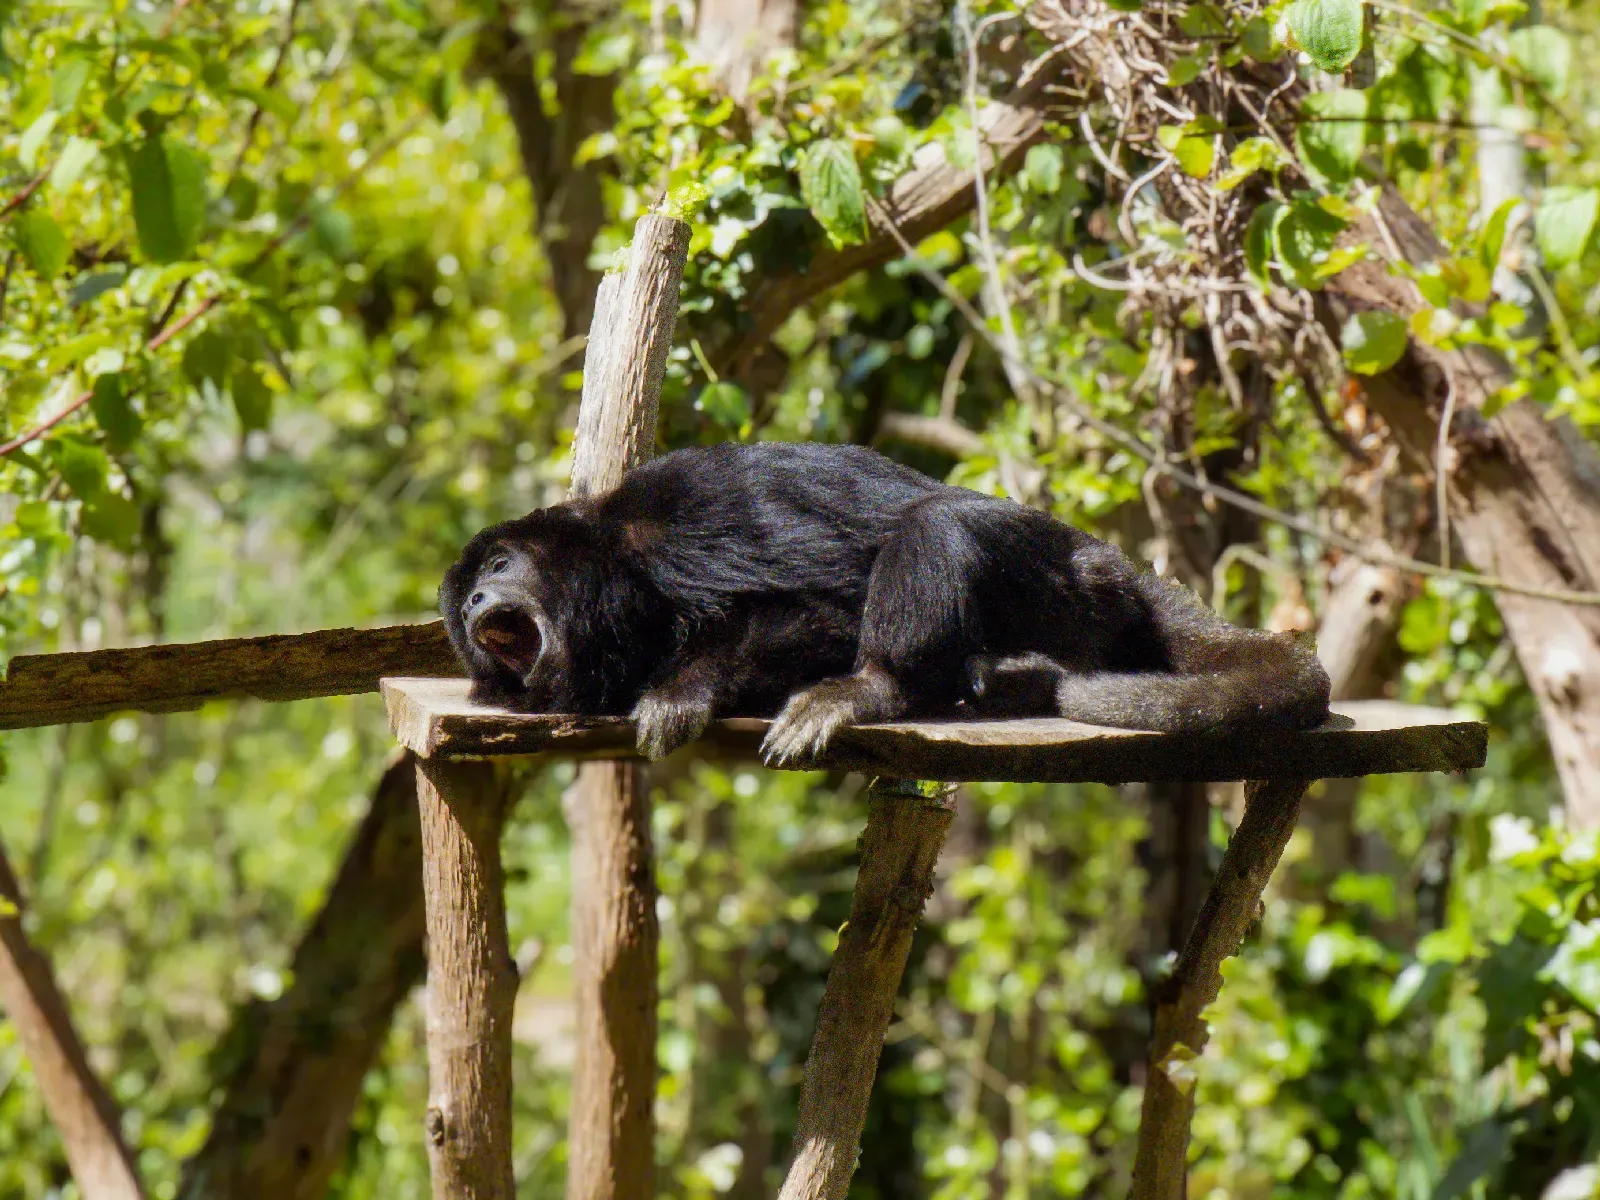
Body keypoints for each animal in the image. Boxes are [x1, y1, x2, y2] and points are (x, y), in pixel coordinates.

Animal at [440, 441, 1331, 764]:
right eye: (465, 610)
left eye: (500, 561)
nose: (480, 593)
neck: (616, 564)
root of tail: (1101, 554)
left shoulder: (685, 512)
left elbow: (817, 615)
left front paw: (679, 688)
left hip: (1072, 587)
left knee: (935, 521)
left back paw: (874, 688)